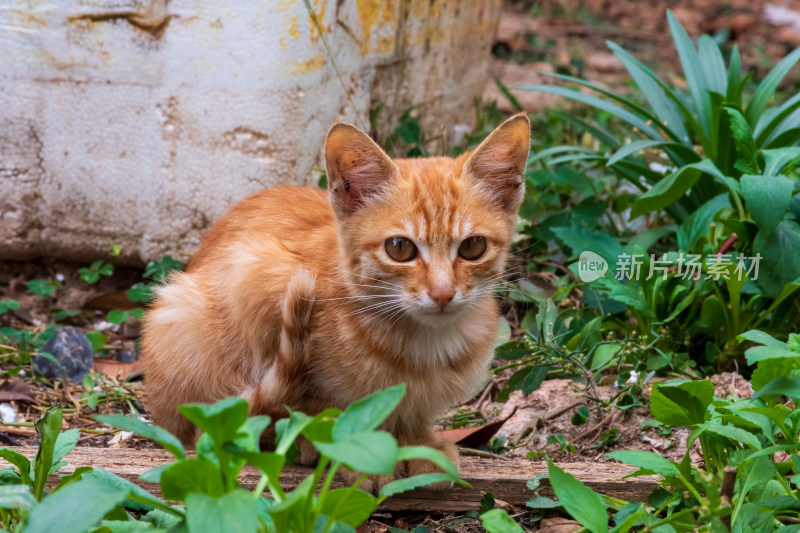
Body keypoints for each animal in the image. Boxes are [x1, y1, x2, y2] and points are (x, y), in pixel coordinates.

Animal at [144, 114, 532, 484]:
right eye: (400, 248)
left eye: (473, 246)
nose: (442, 293)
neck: (421, 346)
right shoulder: (260, 275)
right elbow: (313, 411)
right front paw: (347, 451)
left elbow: (410, 413)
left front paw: (420, 443)